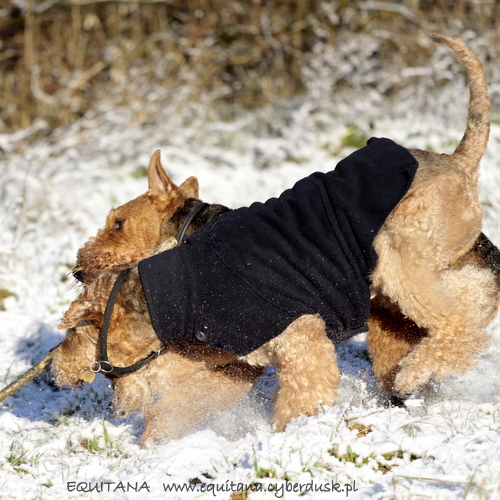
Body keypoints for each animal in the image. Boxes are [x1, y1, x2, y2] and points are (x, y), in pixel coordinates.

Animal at [53, 33, 500, 444]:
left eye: (117, 223)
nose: (78, 268)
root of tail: (457, 160)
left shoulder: (299, 340)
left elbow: (299, 395)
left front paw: (292, 436)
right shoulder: (237, 360)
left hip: (404, 262)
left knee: (462, 316)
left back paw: (415, 373)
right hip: (408, 282)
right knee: (473, 297)